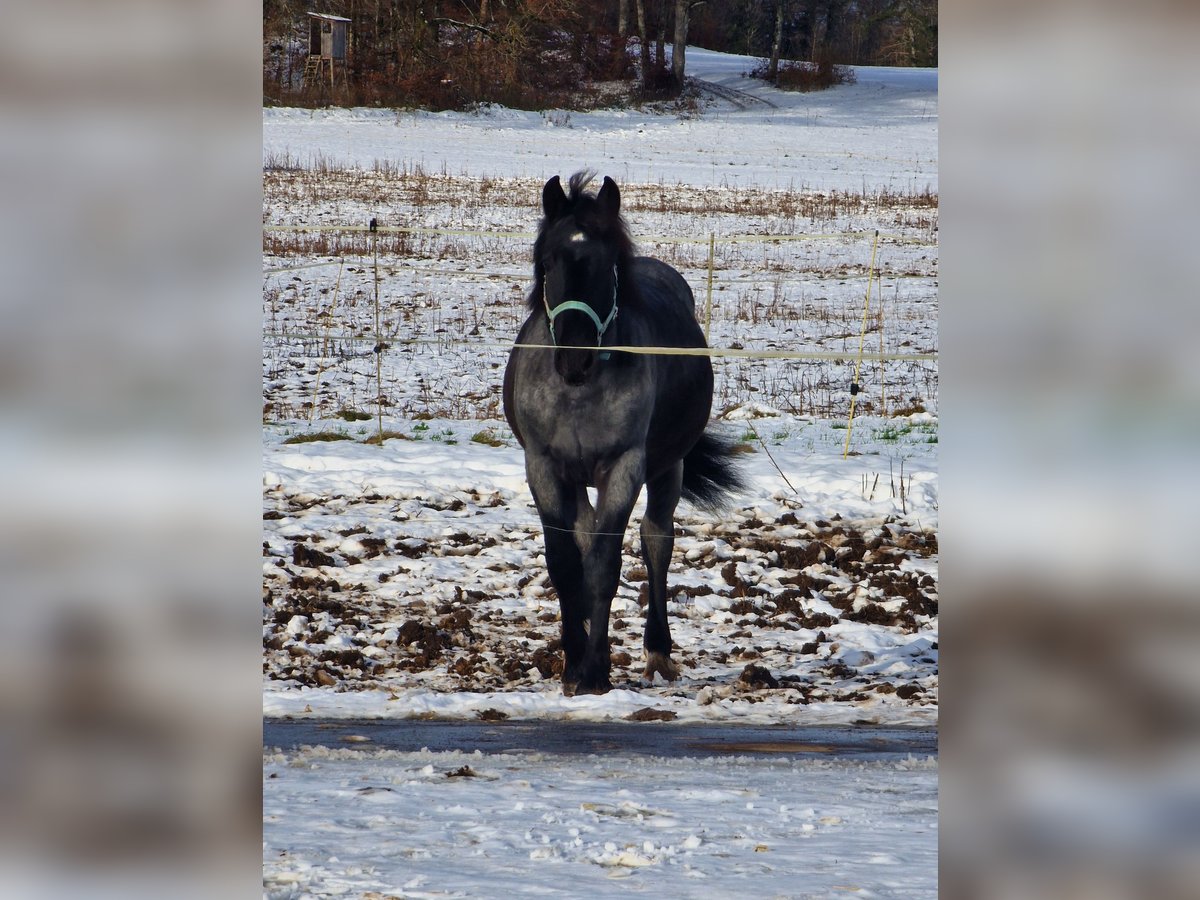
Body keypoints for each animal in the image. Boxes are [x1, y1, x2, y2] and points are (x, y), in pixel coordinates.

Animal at [501, 174, 744, 696]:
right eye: (547, 261)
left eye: (607, 263)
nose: (575, 359)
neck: (578, 394)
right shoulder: (543, 467)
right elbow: (565, 564)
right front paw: (574, 664)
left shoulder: (624, 468)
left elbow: (605, 566)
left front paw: (595, 671)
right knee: (587, 536)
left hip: (667, 467)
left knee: (656, 541)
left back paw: (658, 651)